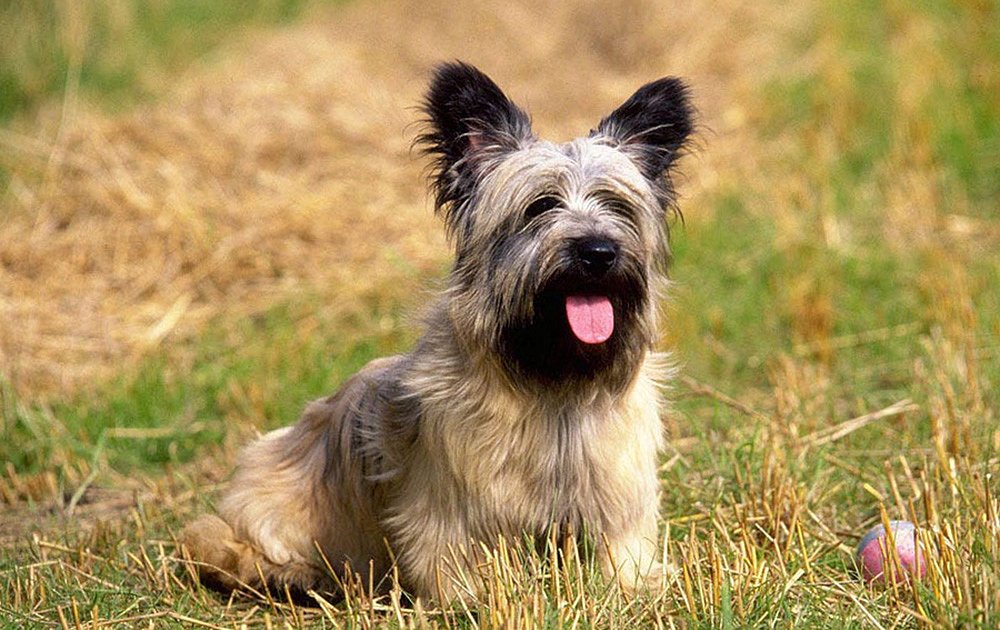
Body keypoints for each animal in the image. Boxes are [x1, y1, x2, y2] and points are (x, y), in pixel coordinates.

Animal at [180, 61, 692, 604]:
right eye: (541, 205)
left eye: (616, 206)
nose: (598, 252)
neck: (552, 380)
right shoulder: (448, 506)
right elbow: (452, 556)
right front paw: (473, 600)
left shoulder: (619, 487)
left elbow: (623, 547)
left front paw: (638, 583)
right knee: (221, 543)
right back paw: (288, 574)